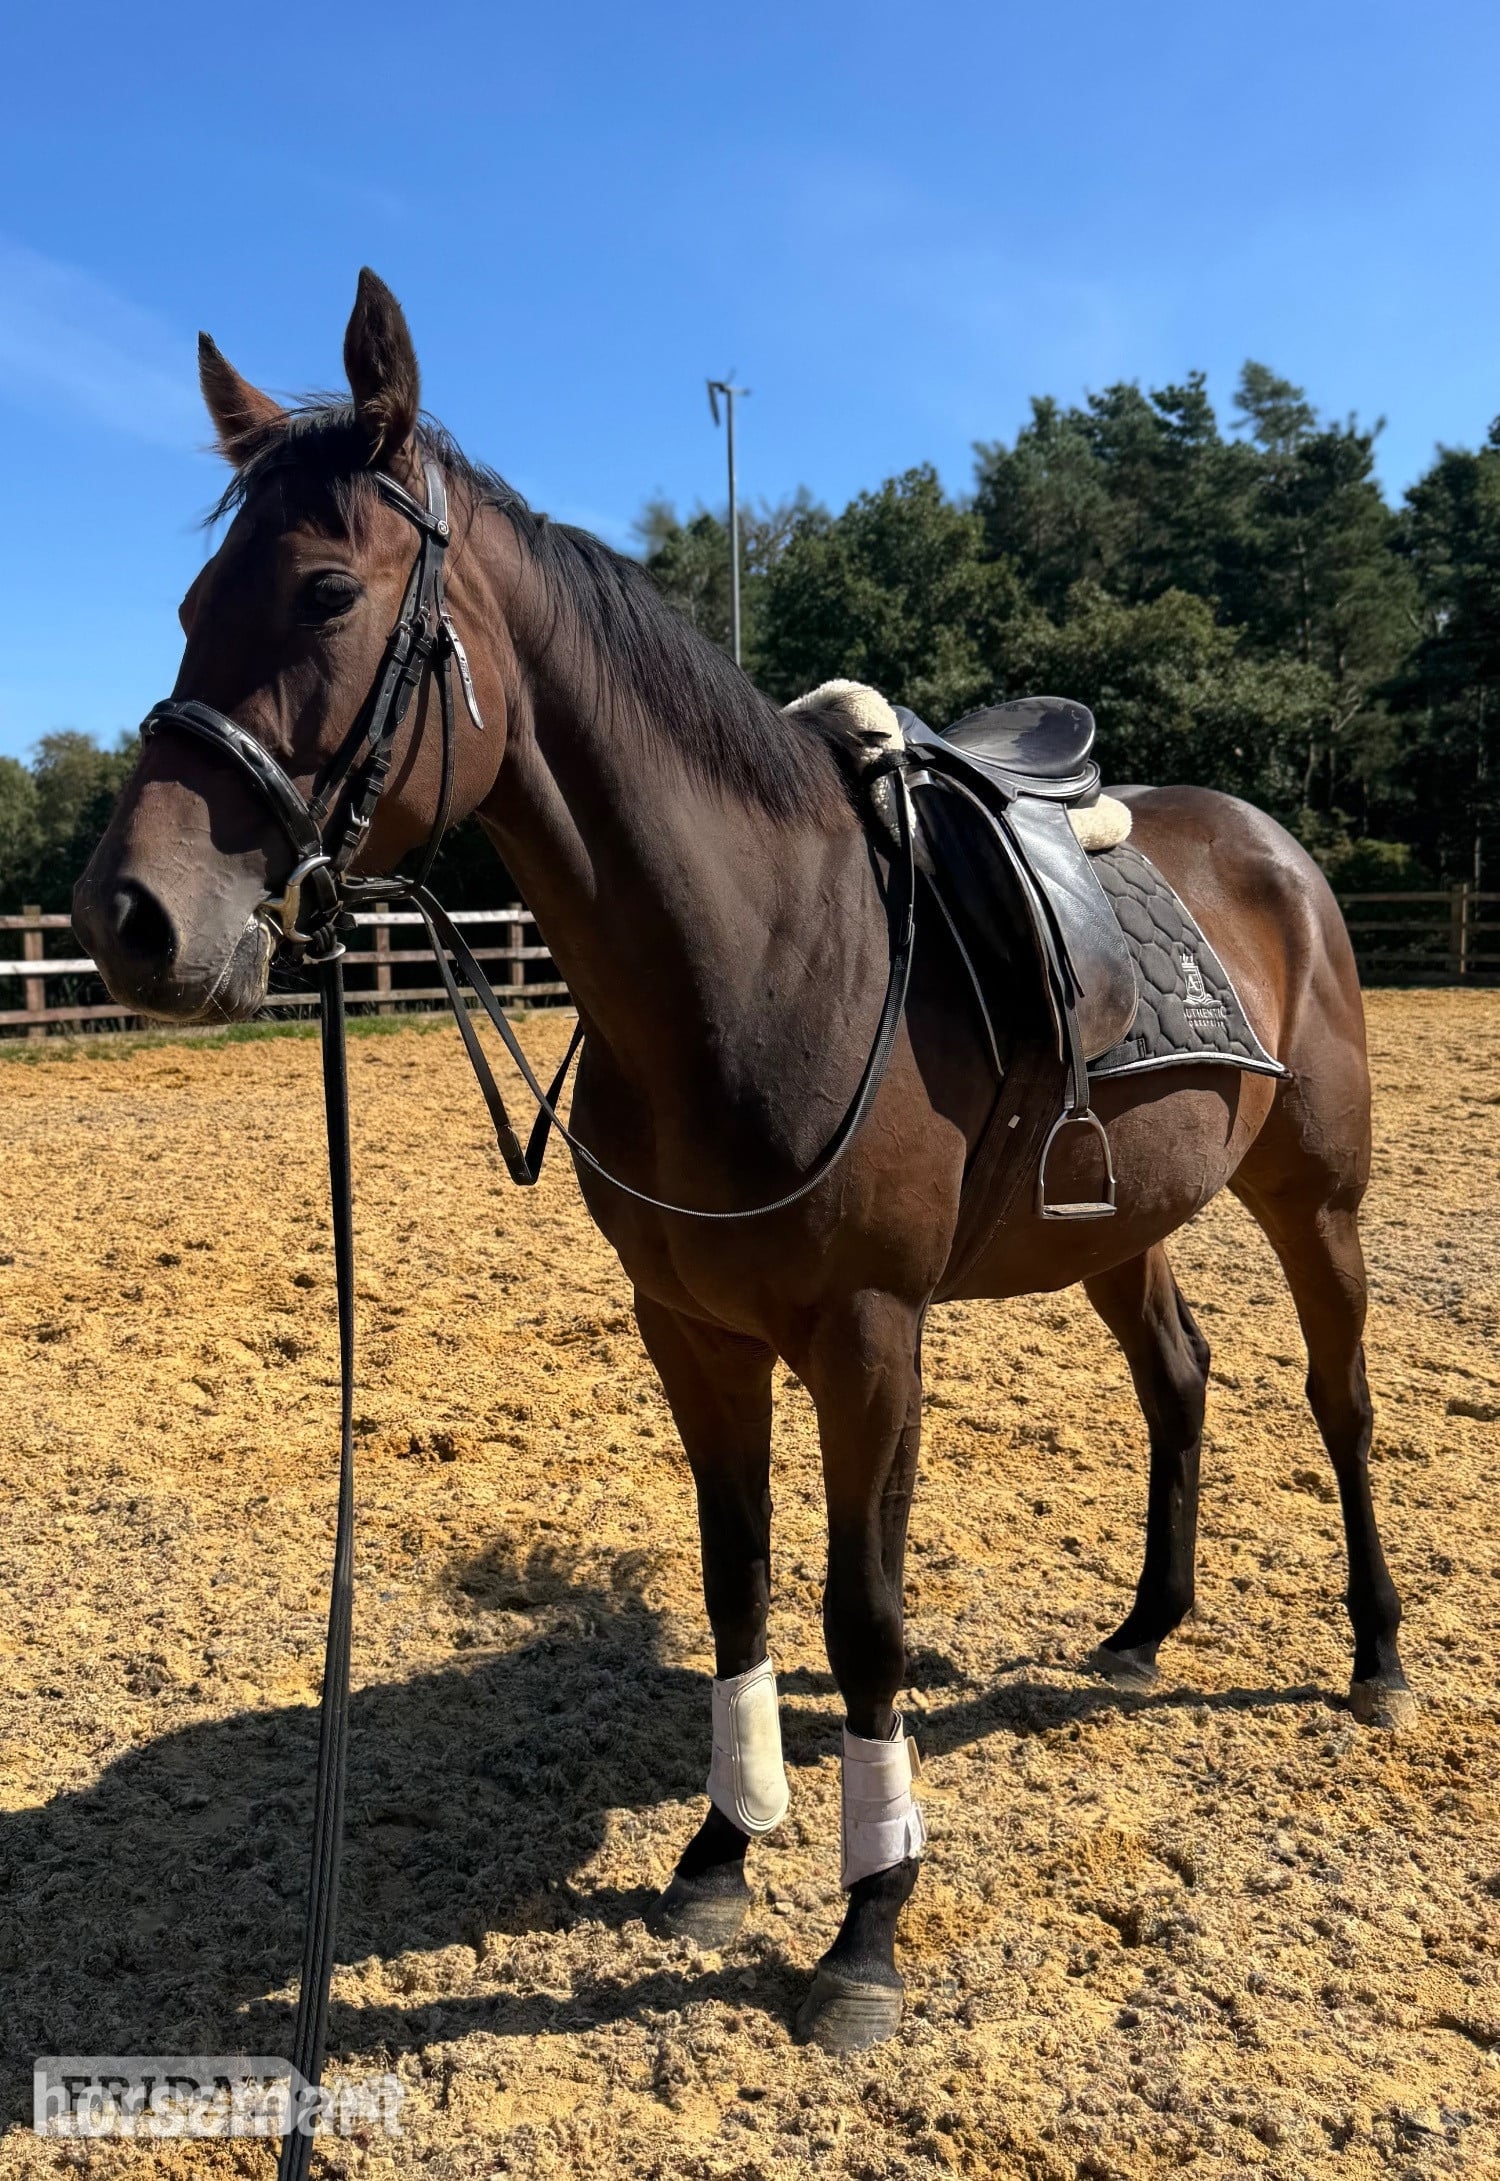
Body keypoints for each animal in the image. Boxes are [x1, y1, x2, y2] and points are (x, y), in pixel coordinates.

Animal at [74, 271, 1410, 2054]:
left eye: (326, 589)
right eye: (188, 601)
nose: (129, 920)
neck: (764, 959)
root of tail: (1277, 847)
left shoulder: (867, 1336)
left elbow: (865, 1610)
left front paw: (868, 1925)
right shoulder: (692, 1333)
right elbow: (735, 1578)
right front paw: (722, 1846)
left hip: (1312, 1196)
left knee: (1339, 1399)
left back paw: (1377, 1658)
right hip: (1123, 1223)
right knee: (1181, 1380)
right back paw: (1142, 1632)